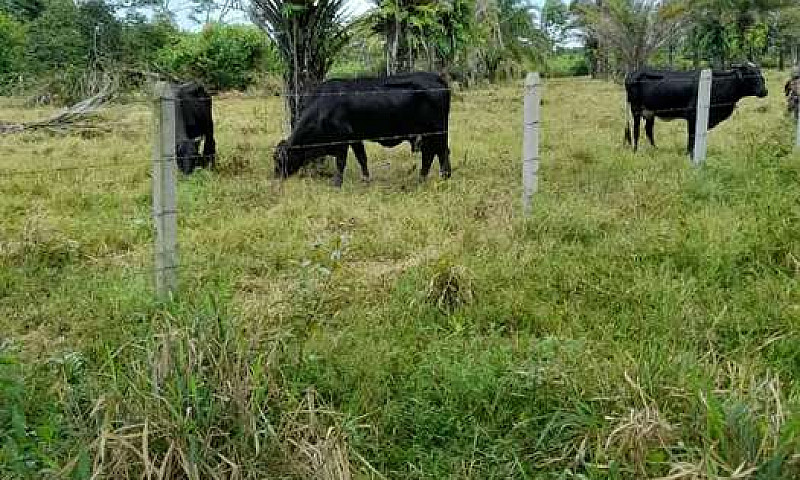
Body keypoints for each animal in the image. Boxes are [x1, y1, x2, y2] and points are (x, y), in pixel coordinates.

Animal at [276, 71, 450, 188]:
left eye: (278, 159)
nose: (276, 176)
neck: (323, 107)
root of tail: (436, 78)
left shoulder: (342, 140)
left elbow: (341, 163)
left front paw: (337, 183)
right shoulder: (355, 138)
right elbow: (362, 158)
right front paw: (365, 179)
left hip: (436, 132)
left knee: (437, 153)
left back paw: (438, 178)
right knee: (435, 153)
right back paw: (432, 178)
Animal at [624, 62, 768, 157]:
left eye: (760, 72)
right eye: (749, 73)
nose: (764, 91)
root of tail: (633, 73)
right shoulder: (693, 115)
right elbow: (692, 135)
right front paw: (689, 153)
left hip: (650, 112)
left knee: (649, 130)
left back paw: (655, 149)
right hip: (636, 109)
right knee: (636, 130)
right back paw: (635, 151)